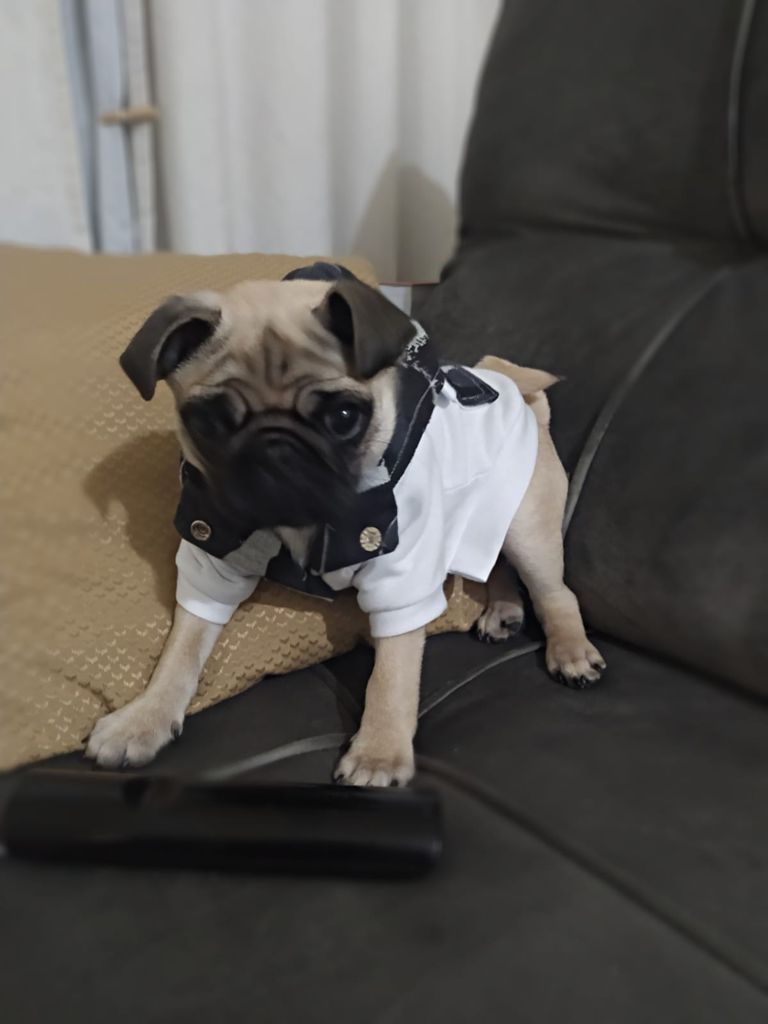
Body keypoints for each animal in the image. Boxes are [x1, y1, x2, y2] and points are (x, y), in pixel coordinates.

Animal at [86, 266, 605, 785]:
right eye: (208, 423)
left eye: (342, 416)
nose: (274, 447)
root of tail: (514, 387)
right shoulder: (214, 554)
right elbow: (181, 651)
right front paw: (145, 718)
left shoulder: (399, 574)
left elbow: (391, 675)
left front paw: (379, 754)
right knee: (493, 563)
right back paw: (503, 610)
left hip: (527, 529)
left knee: (555, 592)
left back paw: (571, 653)